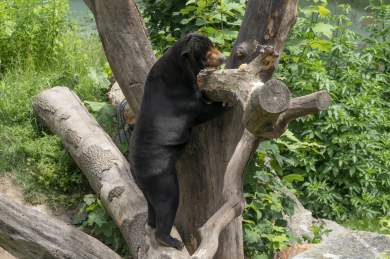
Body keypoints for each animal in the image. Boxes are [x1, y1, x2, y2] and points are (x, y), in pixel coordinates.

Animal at [129, 33, 225, 251]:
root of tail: (135, 170)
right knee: (168, 204)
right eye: (207, 52)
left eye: (214, 45)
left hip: (147, 188)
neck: (181, 68)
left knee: (152, 207)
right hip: (162, 180)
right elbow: (206, 110)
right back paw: (172, 240)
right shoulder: (186, 101)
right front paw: (225, 101)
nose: (223, 58)